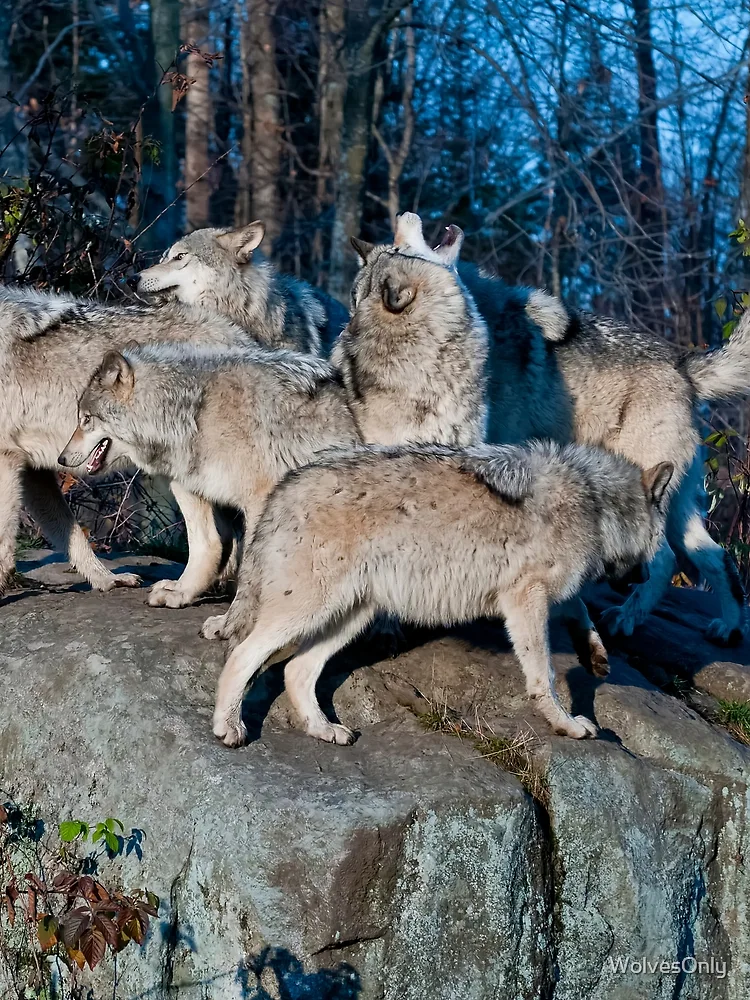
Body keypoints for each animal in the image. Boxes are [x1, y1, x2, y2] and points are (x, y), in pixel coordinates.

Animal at [0, 287, 251, 601]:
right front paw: (107, 580)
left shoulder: (7, 459)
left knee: (215, 539)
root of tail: (238, 335)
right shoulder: (34, 471)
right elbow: (71, 535)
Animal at [59, 343, 360, 618]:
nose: (61, 458)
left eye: (86, 419)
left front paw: (230, 619)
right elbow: (209, 547)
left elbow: (249, 565)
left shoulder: (258, 498)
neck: (191, 414)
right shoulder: (188, 484)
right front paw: (182, 592)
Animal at [211, 441, 672, 747]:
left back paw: (323, 729)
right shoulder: (525, 597)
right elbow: (544, 674)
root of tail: (286, 484)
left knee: (295, 670)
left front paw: (594, 653)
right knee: (242, 656)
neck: (594, 504)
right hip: (309, 611)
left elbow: (578, 607)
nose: (646, 575)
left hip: (350, 616)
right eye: (657, 543)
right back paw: (230, 728)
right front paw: (566, 723)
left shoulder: (537, 594)